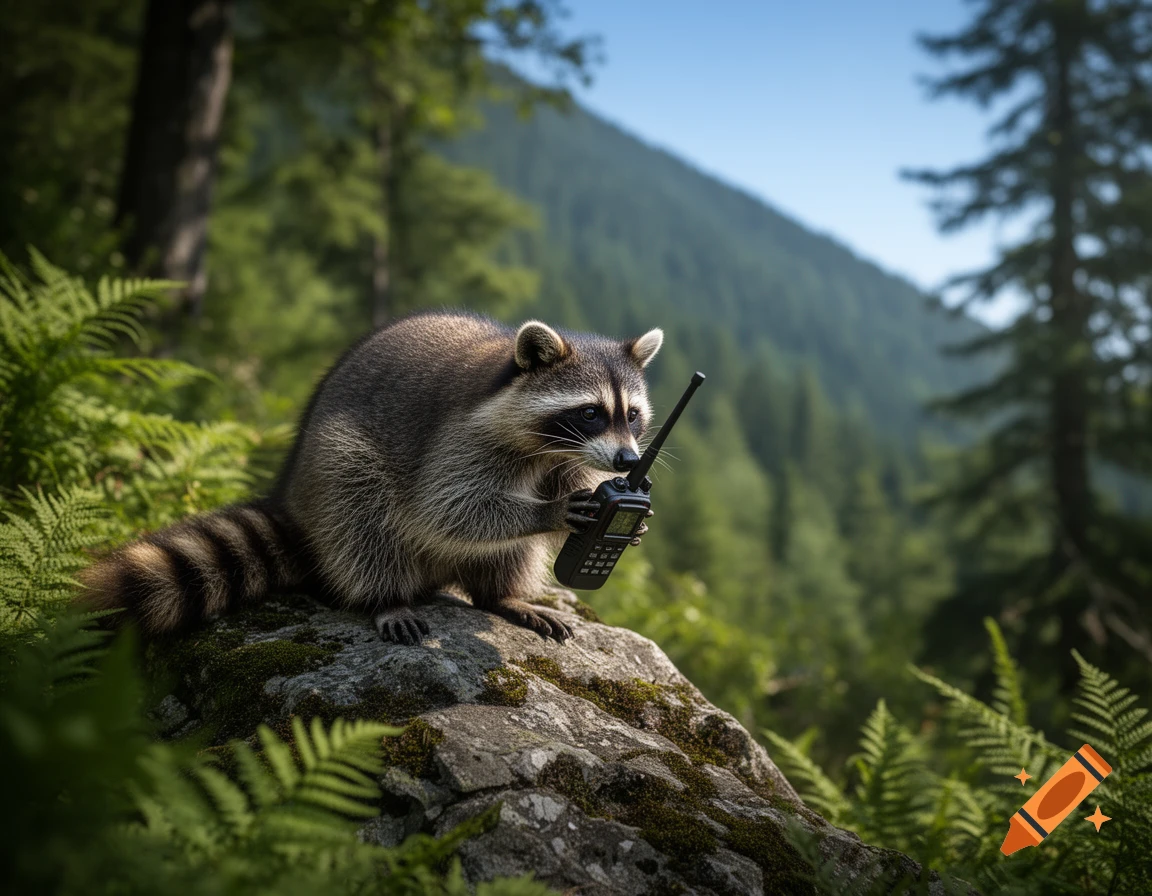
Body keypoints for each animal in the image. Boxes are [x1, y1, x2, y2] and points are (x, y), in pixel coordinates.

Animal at [78, 312, 664, 644]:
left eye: (632, 414)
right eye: (590, 412)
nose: (627, 462)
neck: (542, 446)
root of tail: (290, 495)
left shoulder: (566, 458)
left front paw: (617, 516)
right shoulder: (459, 438)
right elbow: (449, 509)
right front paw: (552, 511)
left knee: (511, 552)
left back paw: (501, 596)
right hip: (338, 462)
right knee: (362, 518)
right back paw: (385, 597)